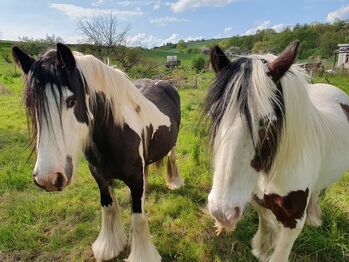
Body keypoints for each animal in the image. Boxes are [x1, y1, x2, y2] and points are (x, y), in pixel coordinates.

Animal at [12, 42, 184, 260]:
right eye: (32, 104)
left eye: (71, 101)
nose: (47, 178)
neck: (116, 132)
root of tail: (164, 83)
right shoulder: (100, 177)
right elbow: (108, 208)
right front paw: (110, 247)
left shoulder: (135, 180)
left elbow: (138, 218)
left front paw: (142, 256)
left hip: (173, 144)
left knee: (172, 159)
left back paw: (174, 182)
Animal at [203, 40, 348, 260]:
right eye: (214, 114)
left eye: (267, 121)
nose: (222, 212)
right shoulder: (256, 197)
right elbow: (265, 220)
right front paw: (262, 248)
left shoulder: (293, 220)